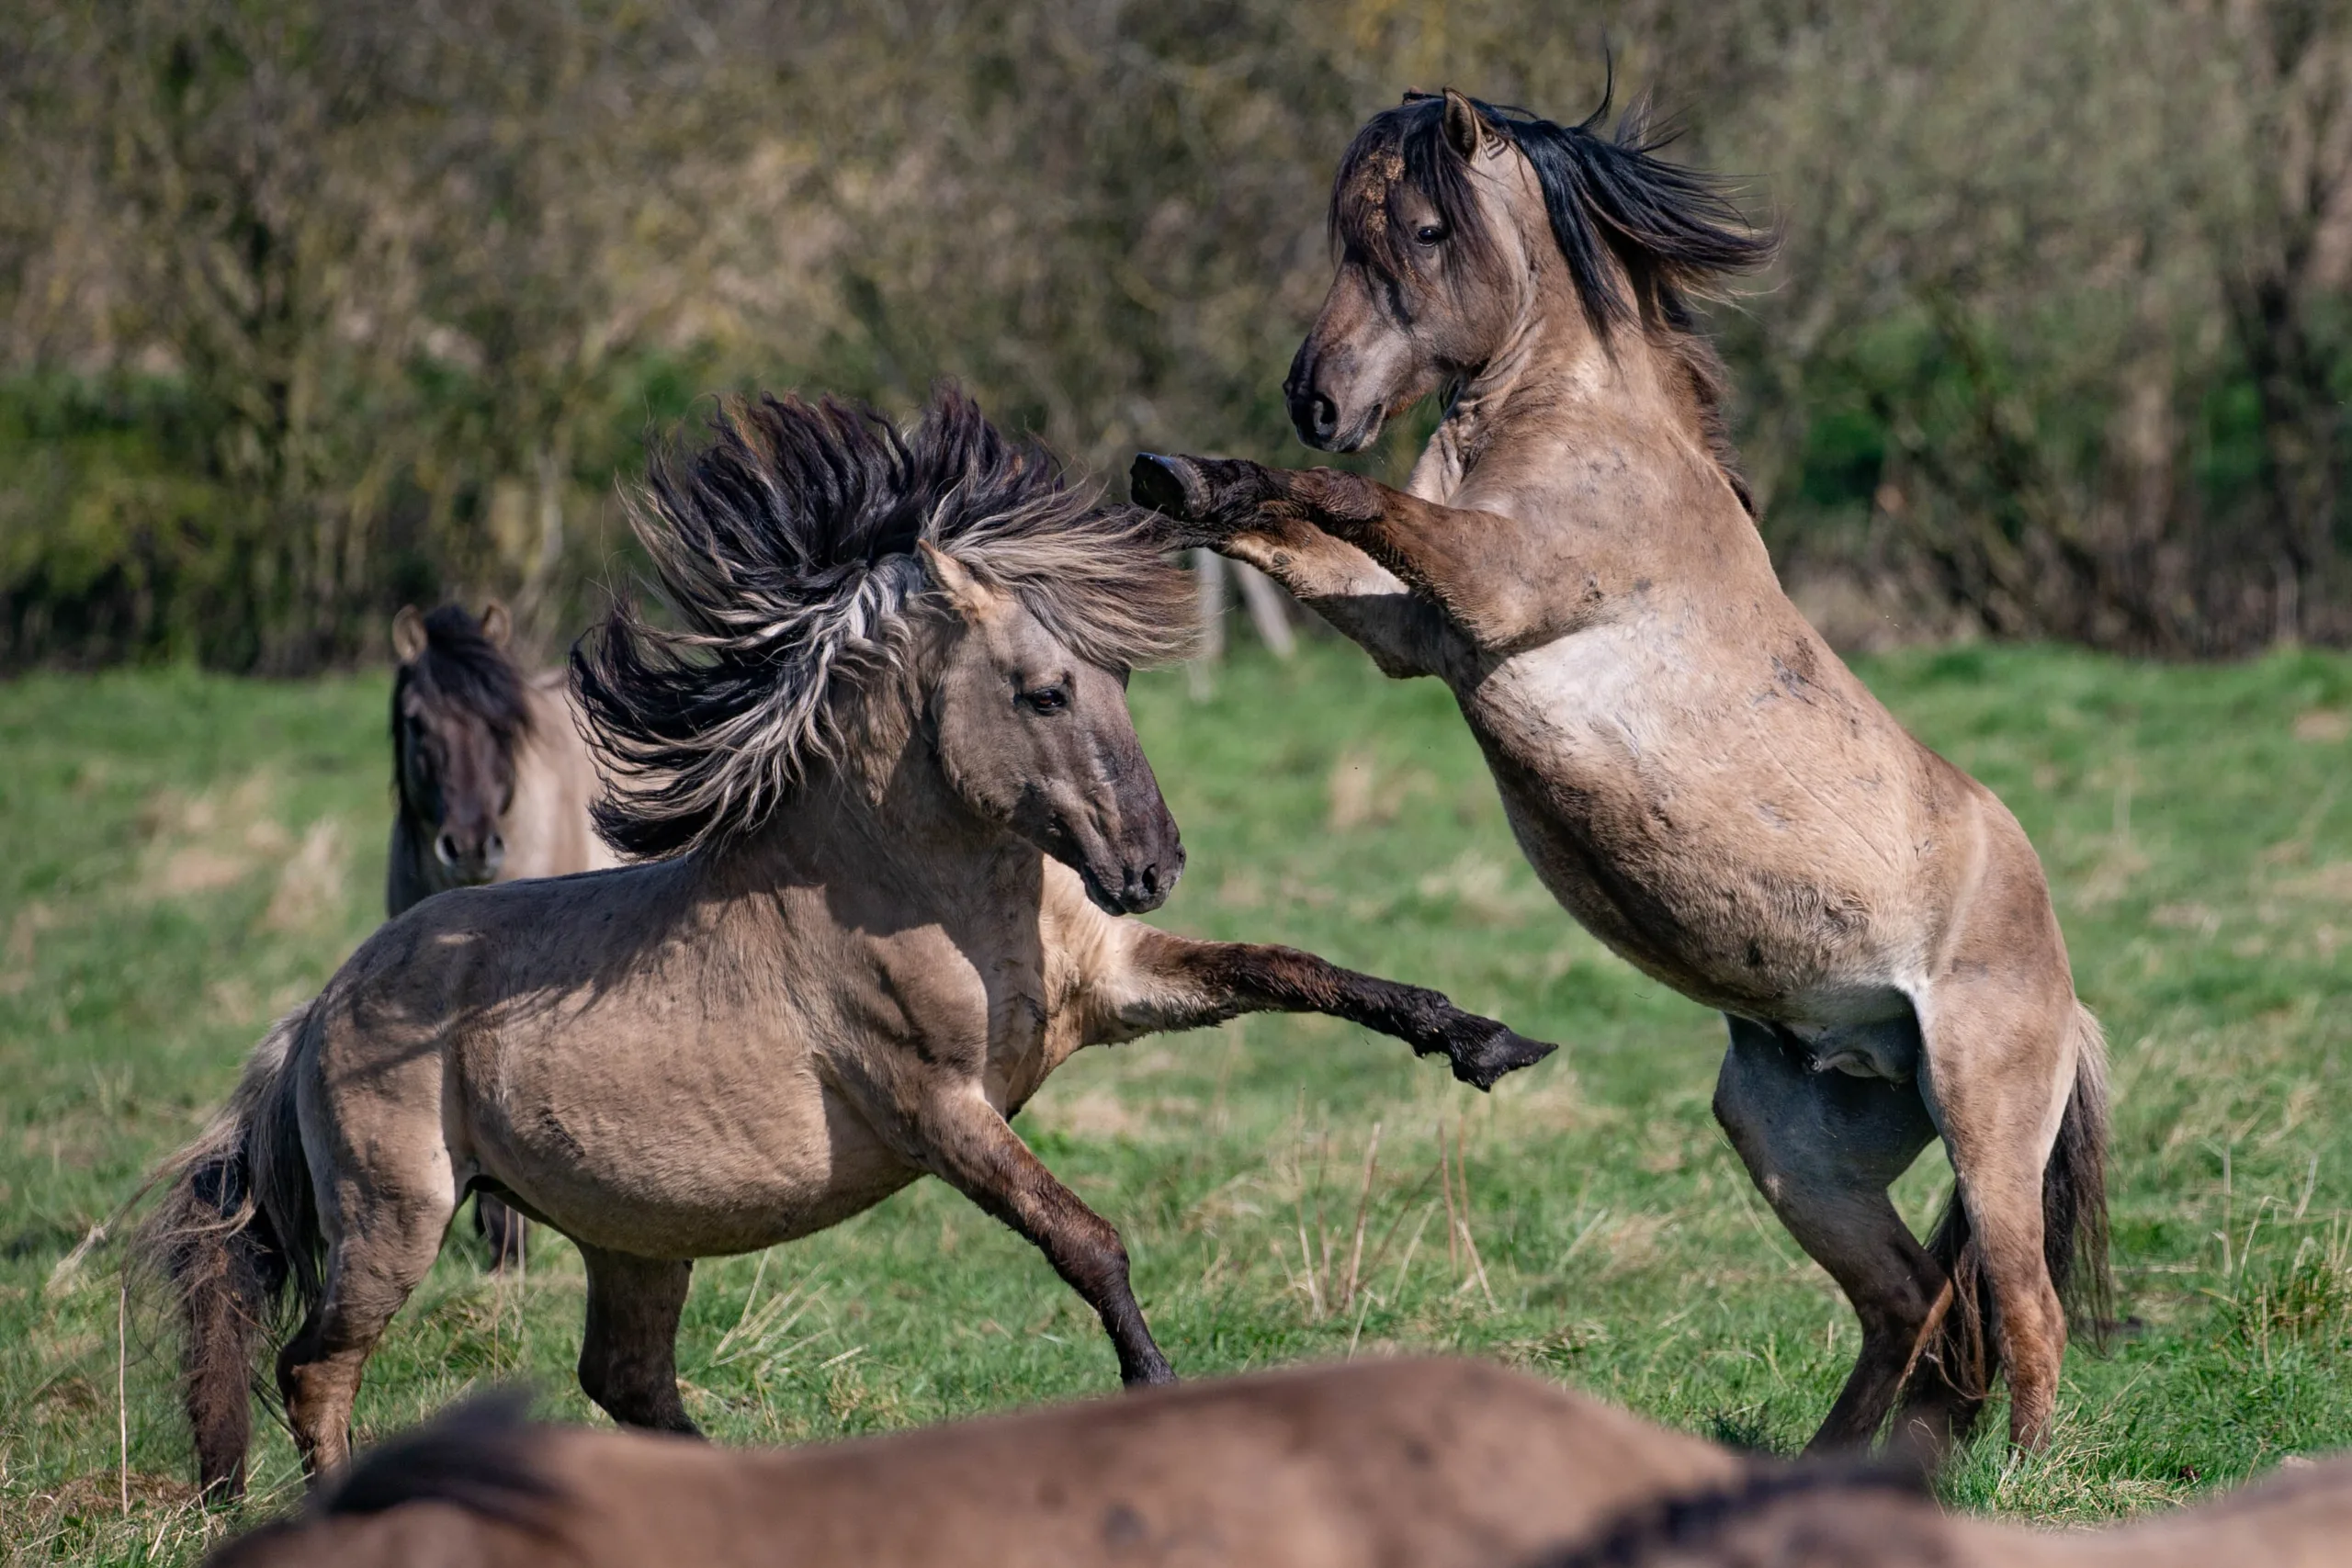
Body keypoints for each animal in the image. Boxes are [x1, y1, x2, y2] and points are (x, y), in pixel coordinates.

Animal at [1133, 85, 2117, 1457]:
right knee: (1910, 1305)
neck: (1583, 433)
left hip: (1984, 1115)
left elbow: (1353, 498)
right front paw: (1183, 479)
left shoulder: (1490, 585)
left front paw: (1234, 471)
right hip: (1794, 1145)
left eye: (1425, 230)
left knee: (2023, 1306)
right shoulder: (1409, 630)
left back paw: (2020, 1475)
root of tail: (2068, 997)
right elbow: (1297, 535)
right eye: (1345, 235)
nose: (1314, 399)